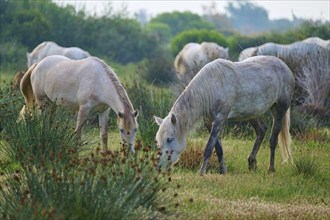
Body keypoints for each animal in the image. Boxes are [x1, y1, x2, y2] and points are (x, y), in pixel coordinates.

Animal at [154, 55, 294, 174]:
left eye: (169, 139)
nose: (159, 167)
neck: (211, 87)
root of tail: (285, 67)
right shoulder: (209, 121)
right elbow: (218, 149)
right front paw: (223, 171)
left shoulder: (220, 119)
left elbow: (209, 148)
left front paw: (202, 172)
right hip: (251, 114)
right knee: (261, 130)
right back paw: (252, 163)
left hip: (279, 110)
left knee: (273, 140)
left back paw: (271, 169)